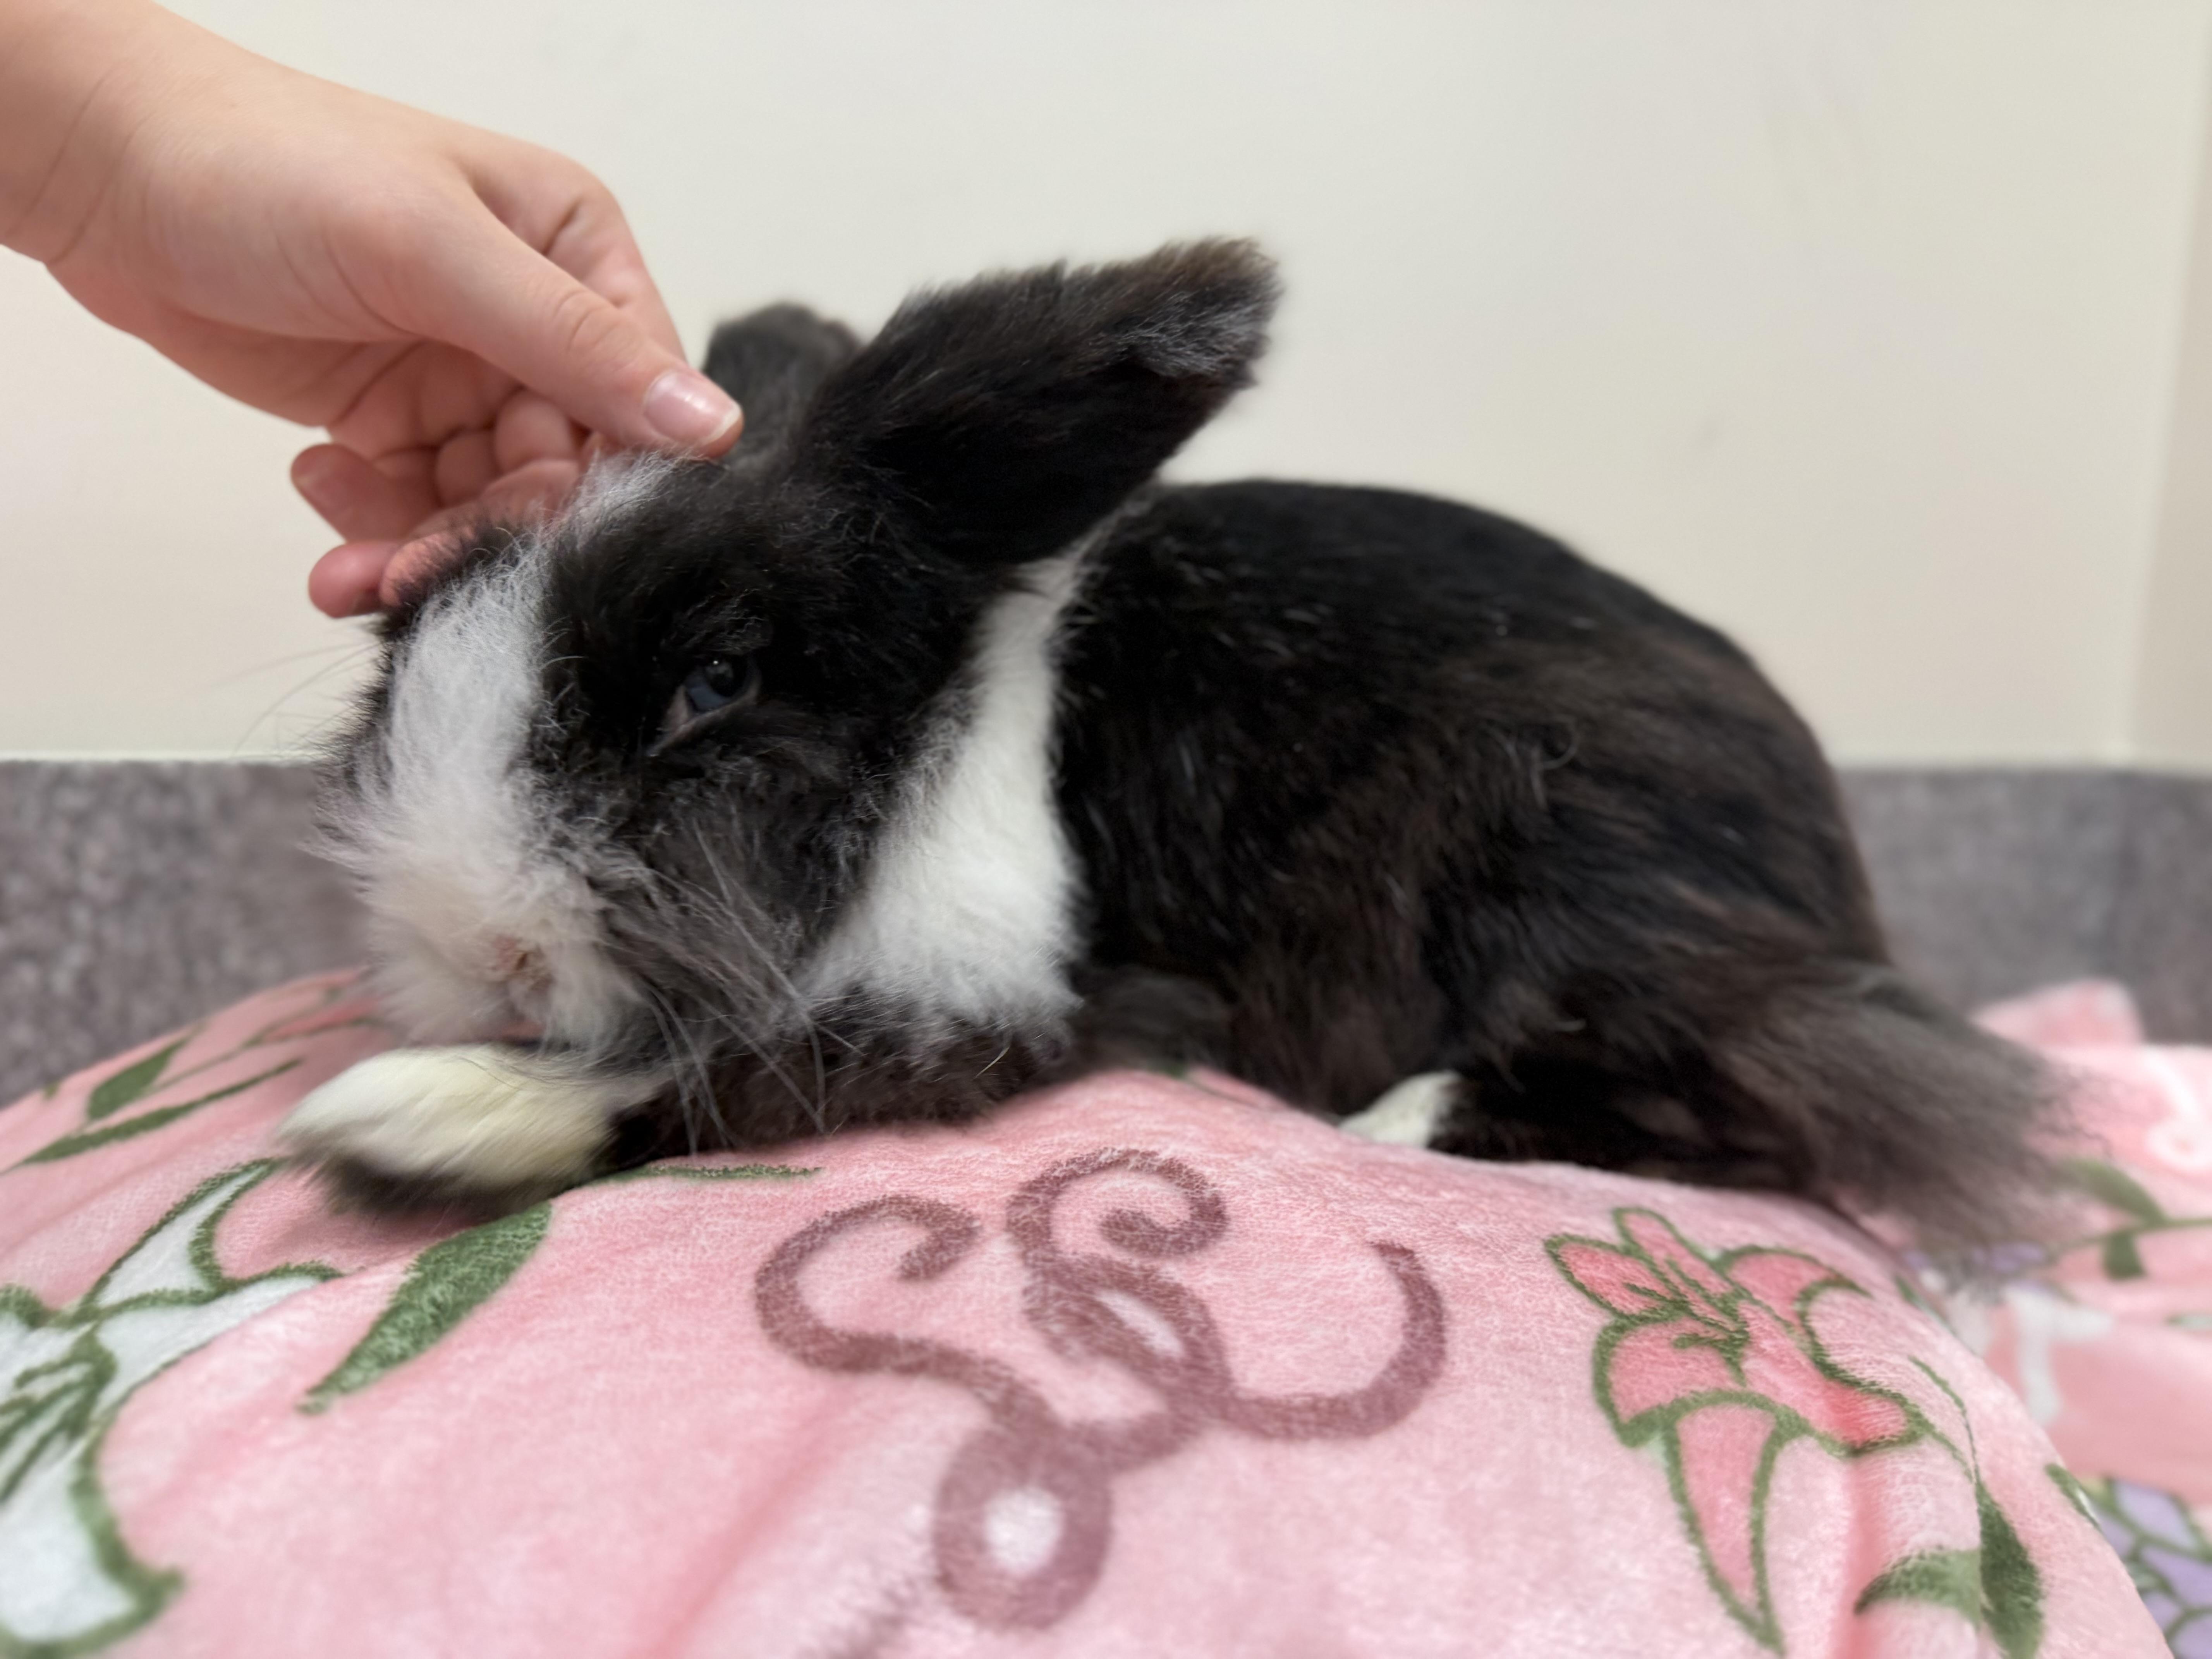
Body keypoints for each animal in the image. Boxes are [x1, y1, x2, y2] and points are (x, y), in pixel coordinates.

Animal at [280, 238, 2053, 1246]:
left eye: (719, 683)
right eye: (403, 644)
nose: (480, 949)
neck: (935, 741)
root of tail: (1836, 894)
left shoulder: (1005, 999)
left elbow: (759, 1068)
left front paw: (416, 1118)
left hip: (1590, 887)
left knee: (1773, 1118)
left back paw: (1394, 1122)